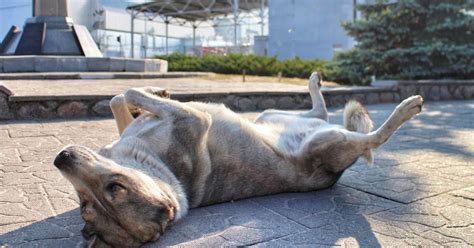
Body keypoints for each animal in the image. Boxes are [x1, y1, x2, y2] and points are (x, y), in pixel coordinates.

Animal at [53, 71, 424, 246]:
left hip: (269, 115)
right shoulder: (193, 118)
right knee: (373, 138)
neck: (164, 172)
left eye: (113, 188)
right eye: (88, 201)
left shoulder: (140, 126)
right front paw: (153, 93)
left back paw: (315, 83)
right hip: (327, 141)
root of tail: (336, 172)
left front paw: (158, 90)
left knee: (319, 111)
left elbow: (120, 97)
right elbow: (129, 92)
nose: (60, 158)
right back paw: (407, 107)